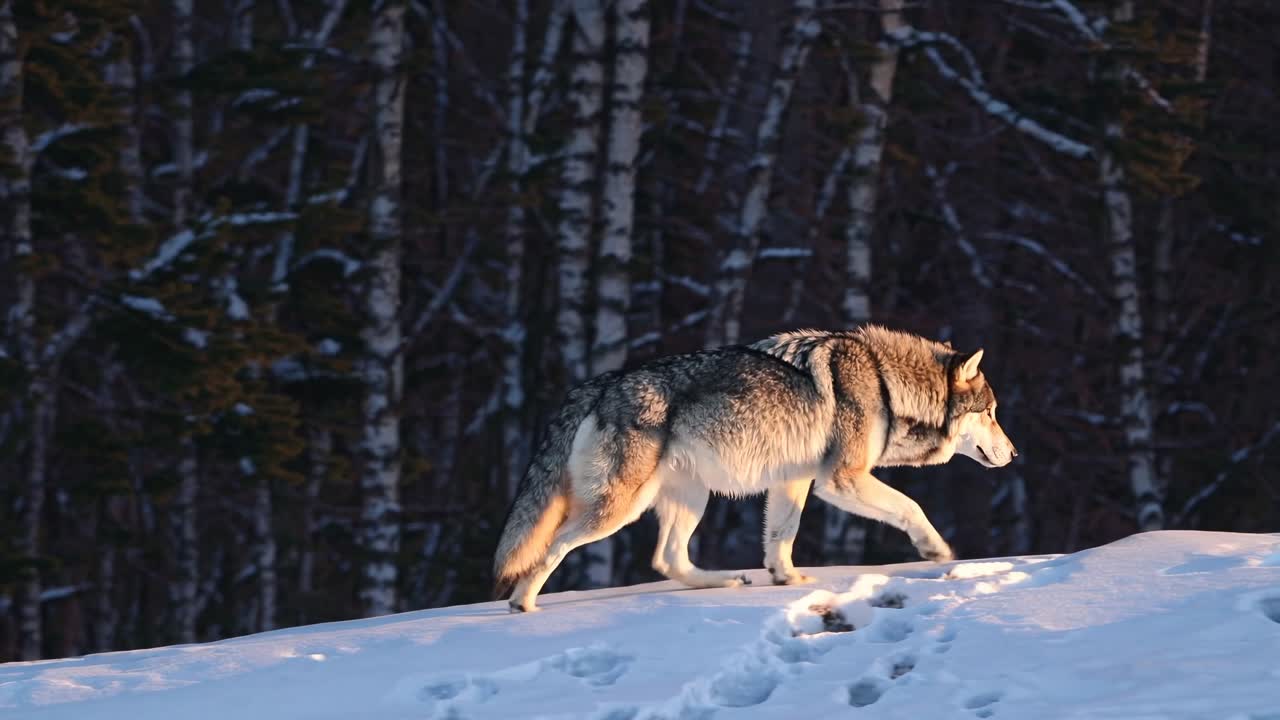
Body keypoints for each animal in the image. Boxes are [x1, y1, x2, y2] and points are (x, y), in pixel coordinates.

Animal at [493, 325, 1017, 612]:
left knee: (667, 559)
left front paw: (786, 581)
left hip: (692, 498)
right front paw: (938, 552)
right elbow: (911, 507)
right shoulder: (841, 480)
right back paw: (522, 603)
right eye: (992, 413)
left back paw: (725, 582)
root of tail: (600, 383)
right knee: (556, 545)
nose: (1014, 454)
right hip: (619, 508)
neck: (886, 382)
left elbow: (781, 537)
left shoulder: (794, 481)